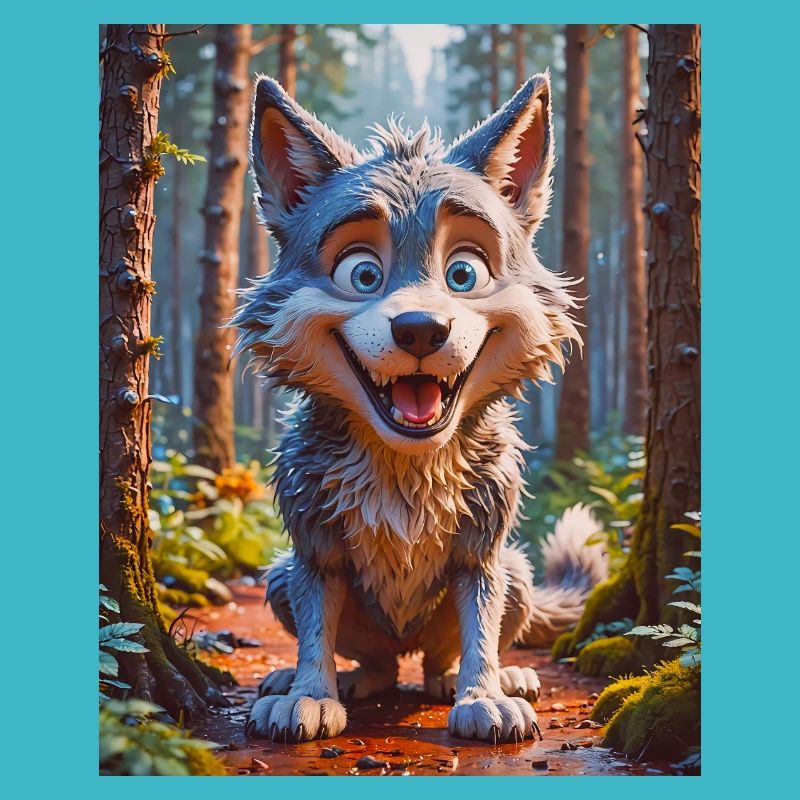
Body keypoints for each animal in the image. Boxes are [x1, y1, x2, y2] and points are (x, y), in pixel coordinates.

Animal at [232, 72, 607, 744]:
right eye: (362, 274)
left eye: (463, 274)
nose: (419, 330)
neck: (405, 466)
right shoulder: (313, 546)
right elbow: (315, 628)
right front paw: (308, 696)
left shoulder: (483, 551)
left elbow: (481, 627)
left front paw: (484, 696)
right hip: (279, 579)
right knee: (376, 661)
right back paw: (335, 679)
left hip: (517, 574)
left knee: (444, 657)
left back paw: (482, 679)